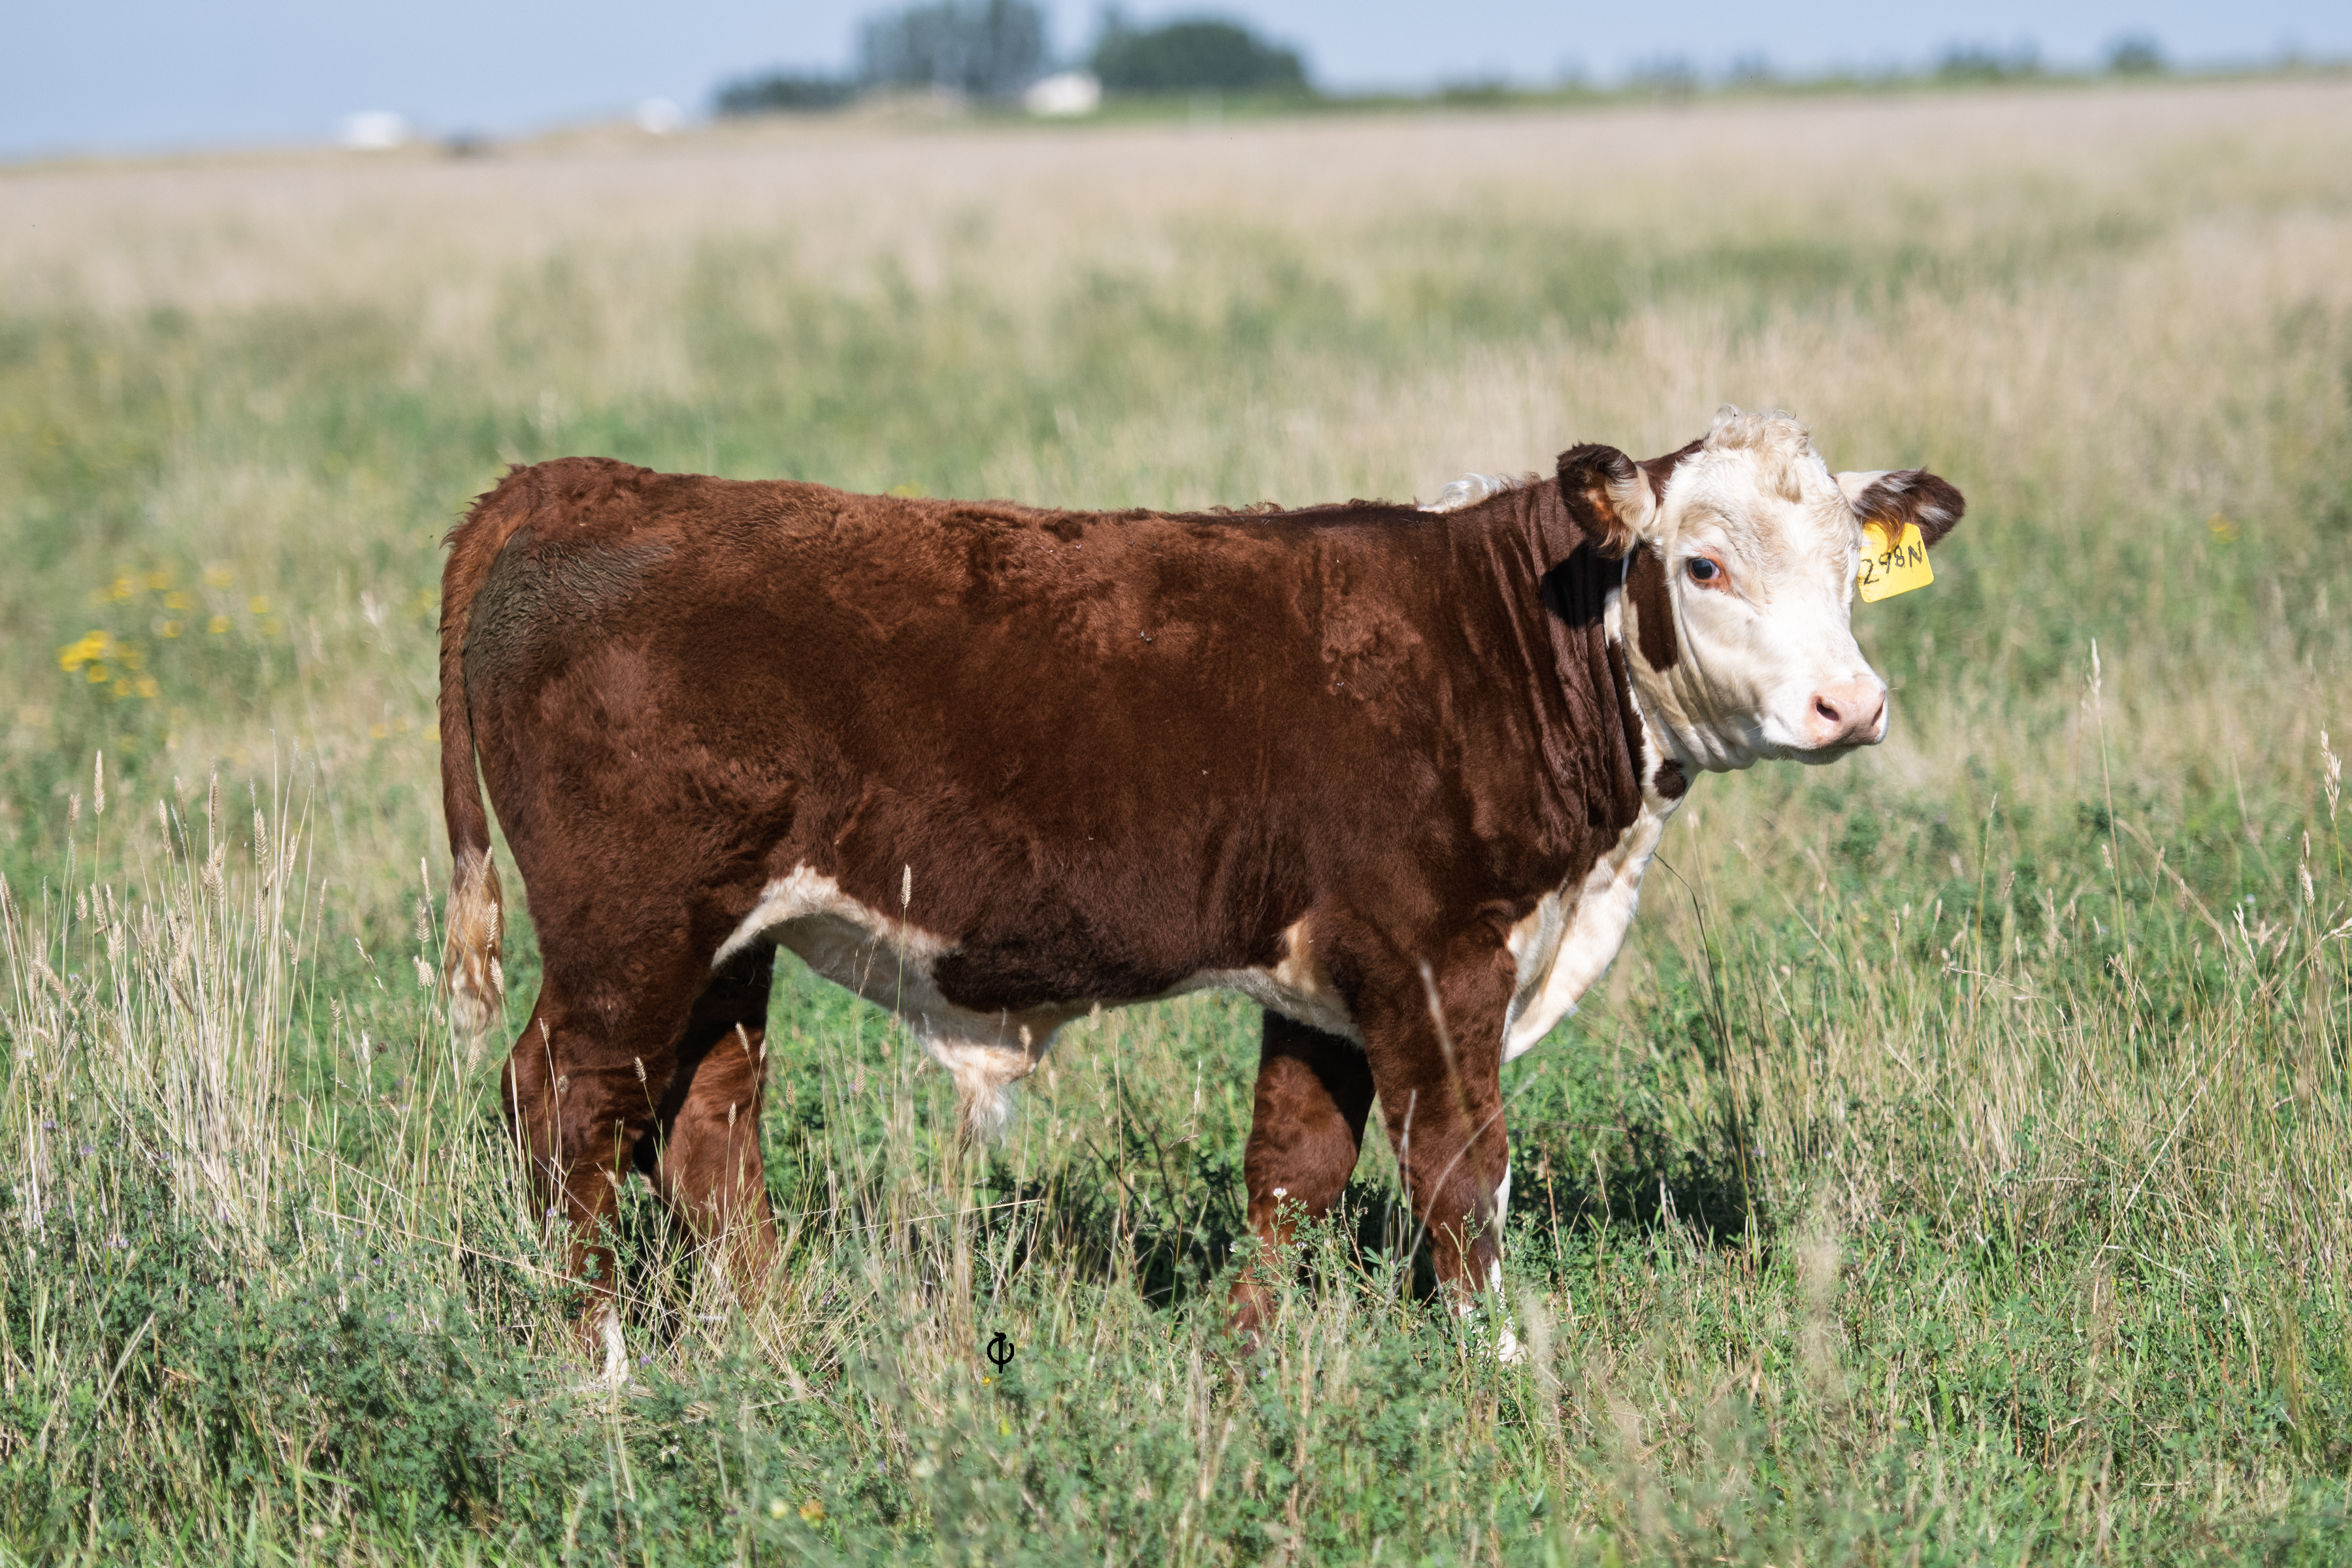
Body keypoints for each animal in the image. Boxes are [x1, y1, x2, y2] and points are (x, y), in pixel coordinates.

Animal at [437, 406, 1962, 1374]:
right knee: (564, 1108)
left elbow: (1295, 1169)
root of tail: (593, 482)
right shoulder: (1432, 956)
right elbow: (1462, 1169)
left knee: (704, 1127)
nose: (1851, 704)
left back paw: (769, 1343)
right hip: (632, 931)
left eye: (1851, 570)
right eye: (1702, 564)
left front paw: (1244, 1360)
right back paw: (601, 1364)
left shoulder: (1328, 981)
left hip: (725, 943)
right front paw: (1497, 1362)